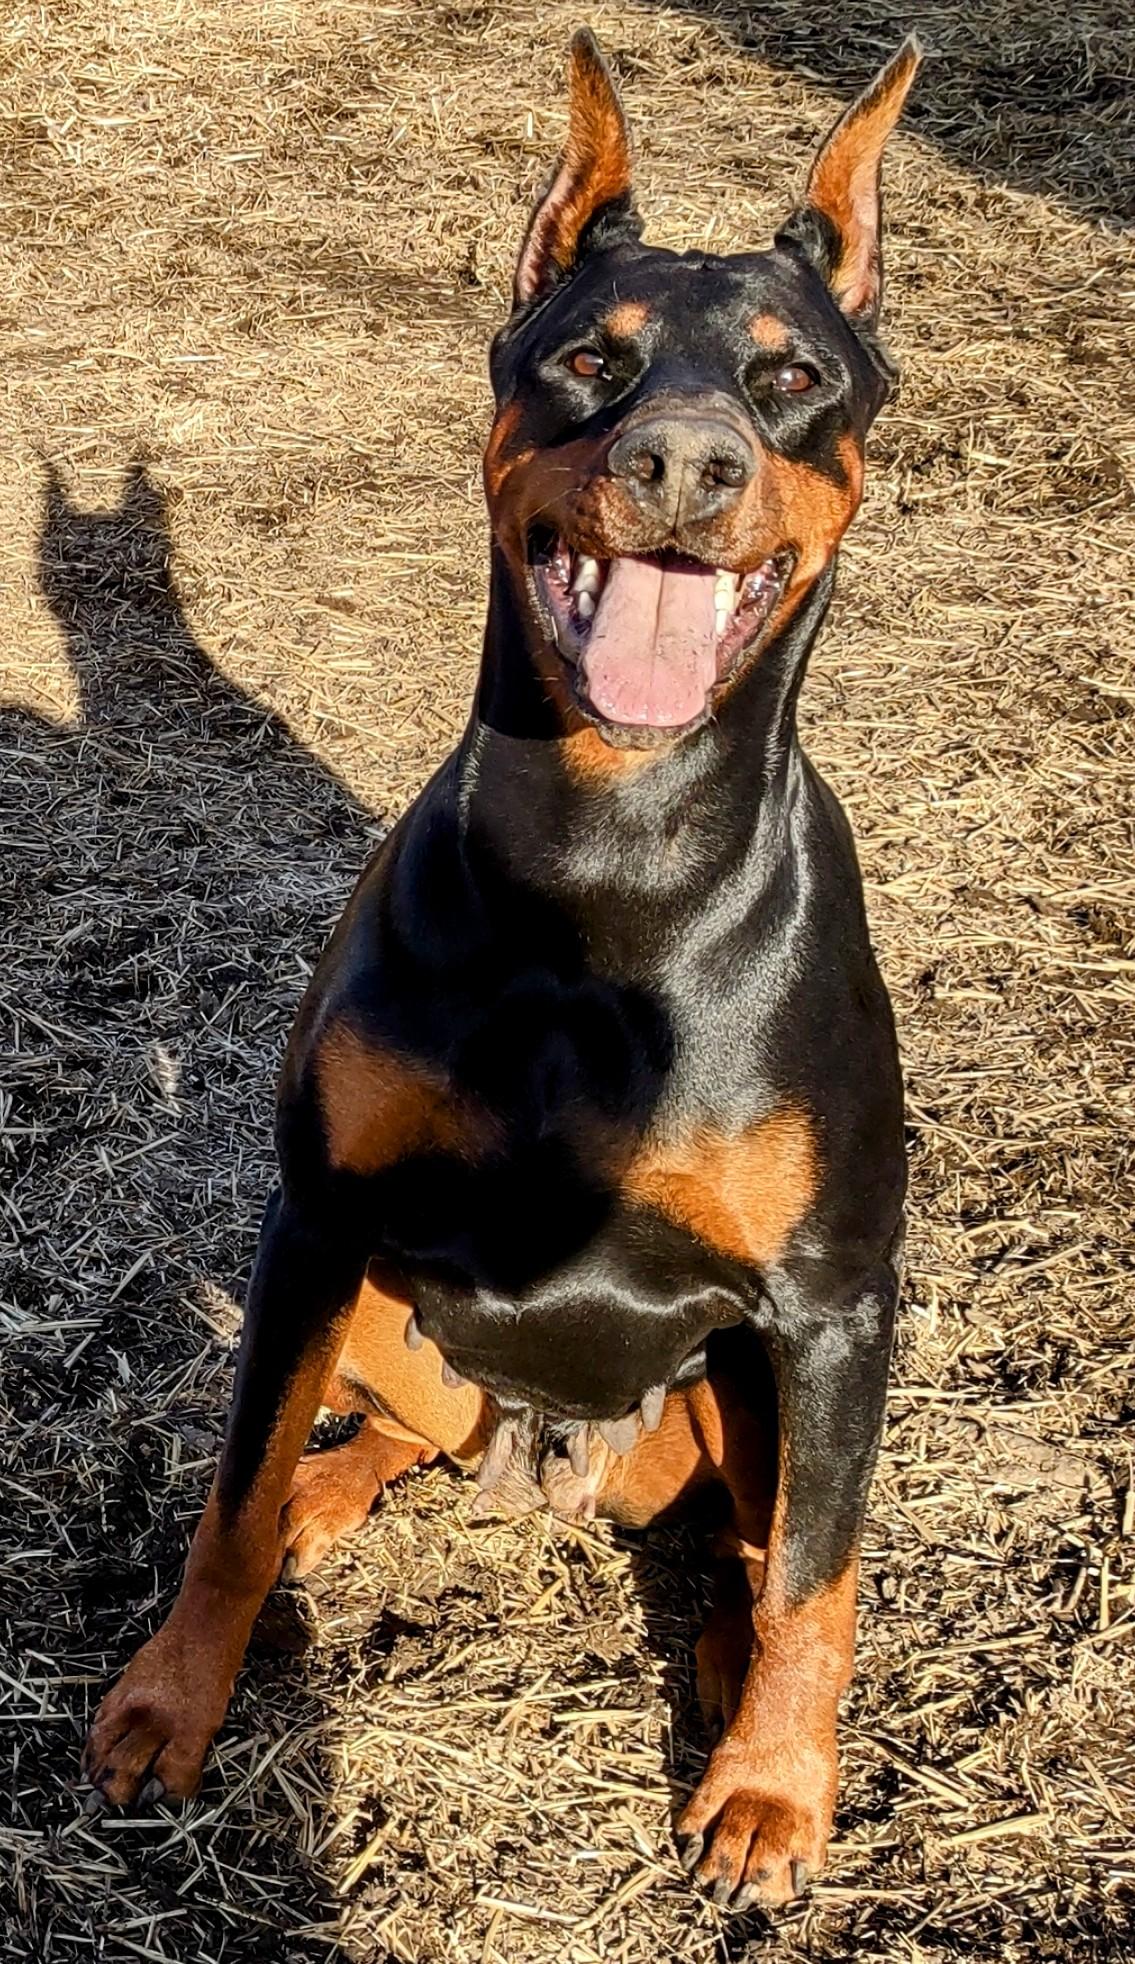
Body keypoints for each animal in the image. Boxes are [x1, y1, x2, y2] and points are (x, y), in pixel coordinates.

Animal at [83, 30, 920, 1912]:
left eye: (789, 377)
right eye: (591, 359)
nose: (682, 463)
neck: (608, 862)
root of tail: (545, 1462)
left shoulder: (835, 1301)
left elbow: (822, 1582)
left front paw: (772, 1789)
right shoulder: (316, 1211)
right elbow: (228, 1487)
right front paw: (175, 1698)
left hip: (747, 1383)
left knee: (749, 1550)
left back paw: (724, 1679)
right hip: (389, 1311)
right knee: (368, 1434)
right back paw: (334, 1495)